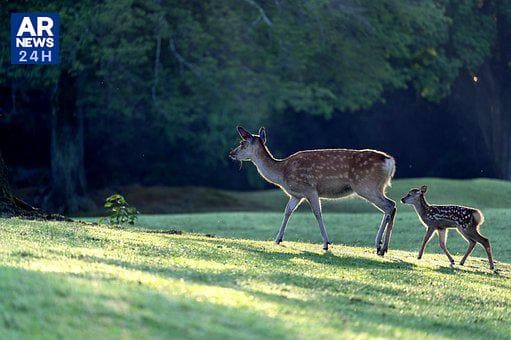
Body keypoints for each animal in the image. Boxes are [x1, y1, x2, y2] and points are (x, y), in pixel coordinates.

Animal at [230, 126, 398, 254]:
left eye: (242, 143)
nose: (231, 153)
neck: (282, 173)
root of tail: (389, 162)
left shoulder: (310, 189)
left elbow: (317, 213)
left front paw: (326, 244)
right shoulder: (296, 195)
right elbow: (287, 211)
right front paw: (277, 239)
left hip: (366, 185)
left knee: (389, 205)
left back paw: (380, 246)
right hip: (377, 187)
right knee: (391, 206)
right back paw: (383, 247)